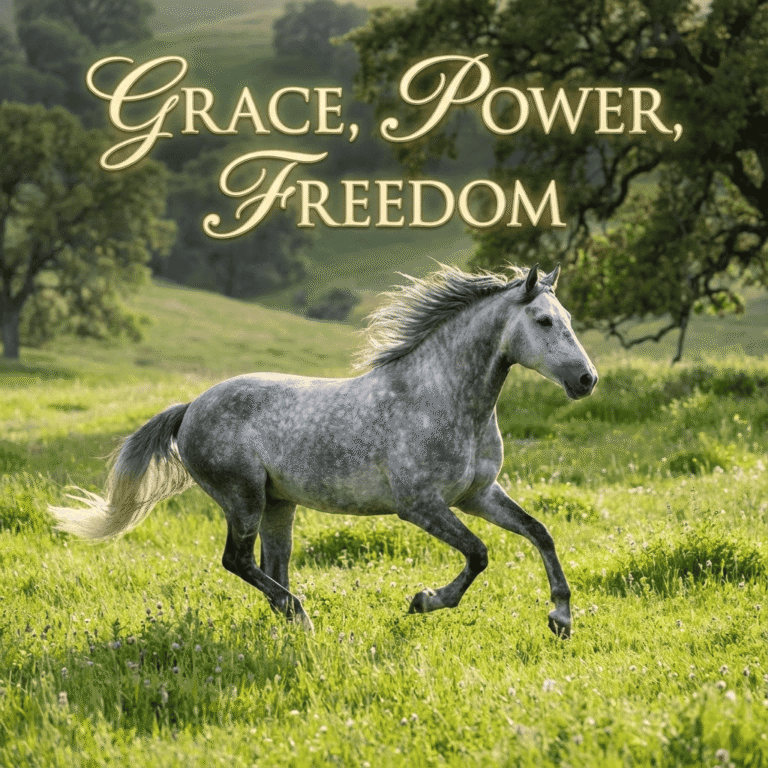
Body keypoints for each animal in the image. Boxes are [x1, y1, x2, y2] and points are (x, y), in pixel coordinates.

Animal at [50, 263, 597, 637]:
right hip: (244, 497)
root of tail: (190, 408)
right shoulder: (420, 505)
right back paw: (304, 617)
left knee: (269, 568)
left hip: (279, 505)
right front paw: (423, 600)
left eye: (568, 317)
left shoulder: (478, 494)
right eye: (544, 321)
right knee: (237, 561)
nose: (587, 380)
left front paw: (561, 618)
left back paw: (293, 621)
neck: (441, 398)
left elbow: (540, 532)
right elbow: (479, 553)